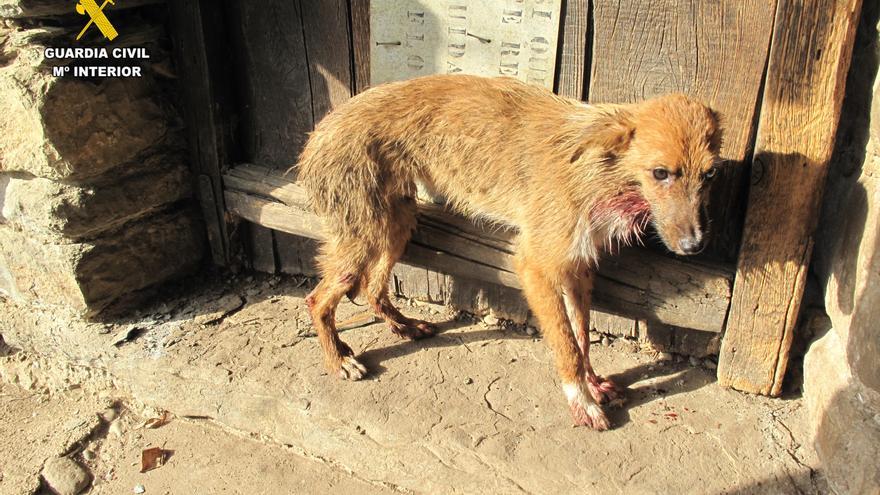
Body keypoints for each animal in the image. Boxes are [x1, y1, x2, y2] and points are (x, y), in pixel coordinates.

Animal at [296, 73, 720, 430]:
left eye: (710, 174)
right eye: (660, 173)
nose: (695, 245)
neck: (599, 171)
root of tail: (319, 131)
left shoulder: (577, 266)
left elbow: (582, 337)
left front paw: (593, 382)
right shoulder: (535, 265)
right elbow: (566, 346)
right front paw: (581, 401)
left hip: (396, 226)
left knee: (372, 289)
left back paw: (404, 326)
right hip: (363, 237)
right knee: (317, 299)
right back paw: (339, 360)